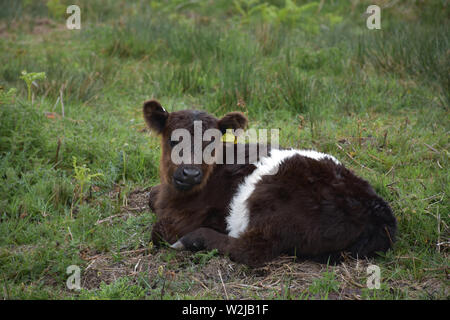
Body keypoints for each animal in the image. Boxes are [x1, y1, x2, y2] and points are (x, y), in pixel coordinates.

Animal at [143, 100, 394, 268]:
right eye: (173, 140)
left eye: (212, 143)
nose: (190, 173)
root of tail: (378, 211)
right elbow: (150, 196)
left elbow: (159, 230)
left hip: (273, 200)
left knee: (252, 250)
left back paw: (192, 240)